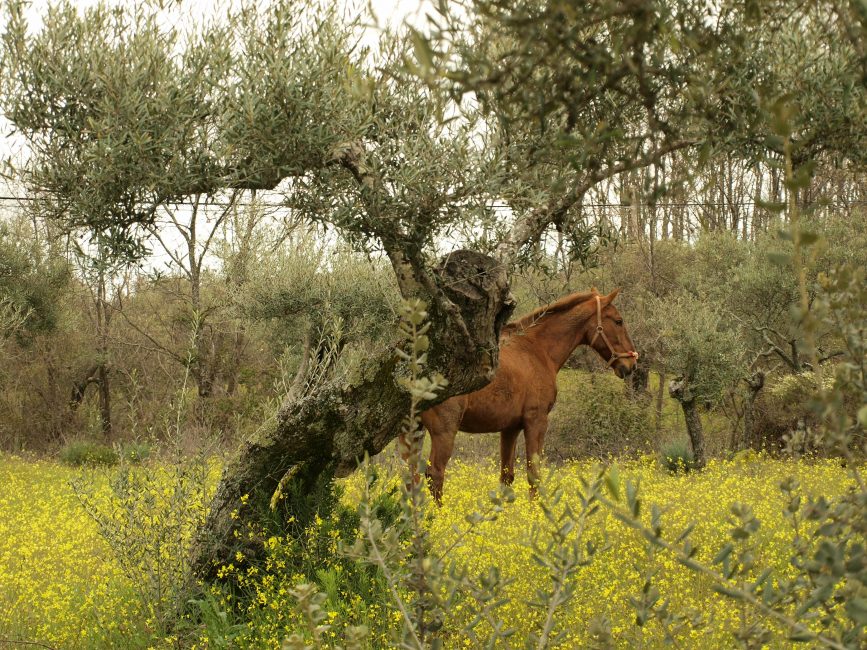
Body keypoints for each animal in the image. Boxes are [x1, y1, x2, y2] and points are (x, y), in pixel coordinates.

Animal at [405, 288, 638, 502]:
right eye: (618, 321)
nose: (631, 364)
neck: (536, 350)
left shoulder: (510, 428)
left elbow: (506, 476)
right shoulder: (536, 421)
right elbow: (533, 475)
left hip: (412, 432)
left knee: (411, 476)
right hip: (444, 432)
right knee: (435, 474)